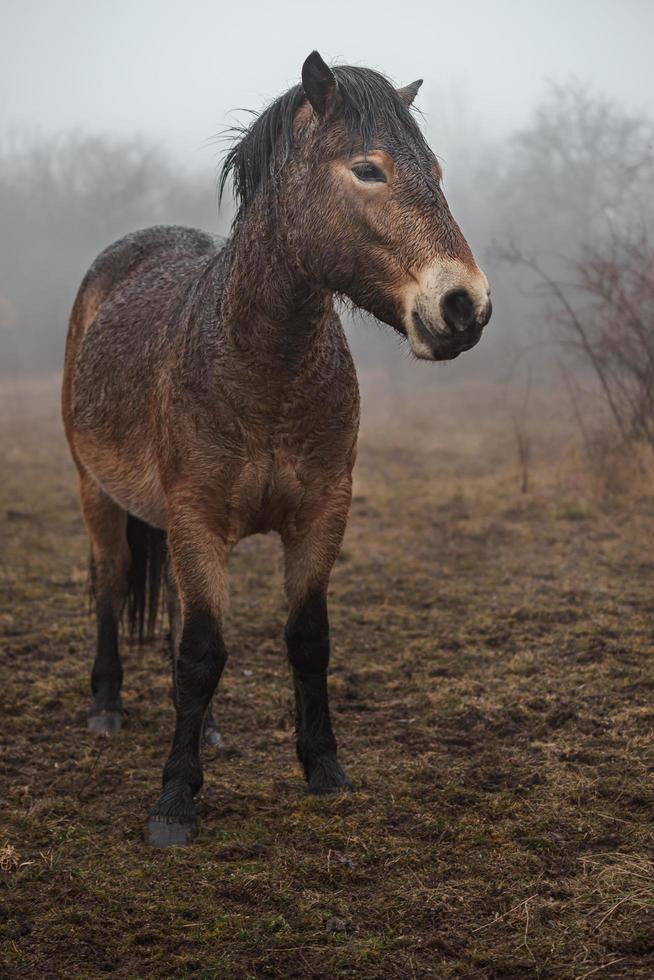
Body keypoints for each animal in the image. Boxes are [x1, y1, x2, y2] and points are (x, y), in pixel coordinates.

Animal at [61, 51, 492, 844]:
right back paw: (105, 706)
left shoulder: (322, 512)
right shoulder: (197, 517)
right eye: (368, 169)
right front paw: (175, 799)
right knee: (111, 583)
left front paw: (324, 769)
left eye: (439, 171)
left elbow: (303, 640)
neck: (261, 365)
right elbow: (202, 653)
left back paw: (209, 729)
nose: (464, 307)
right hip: (96, 490)